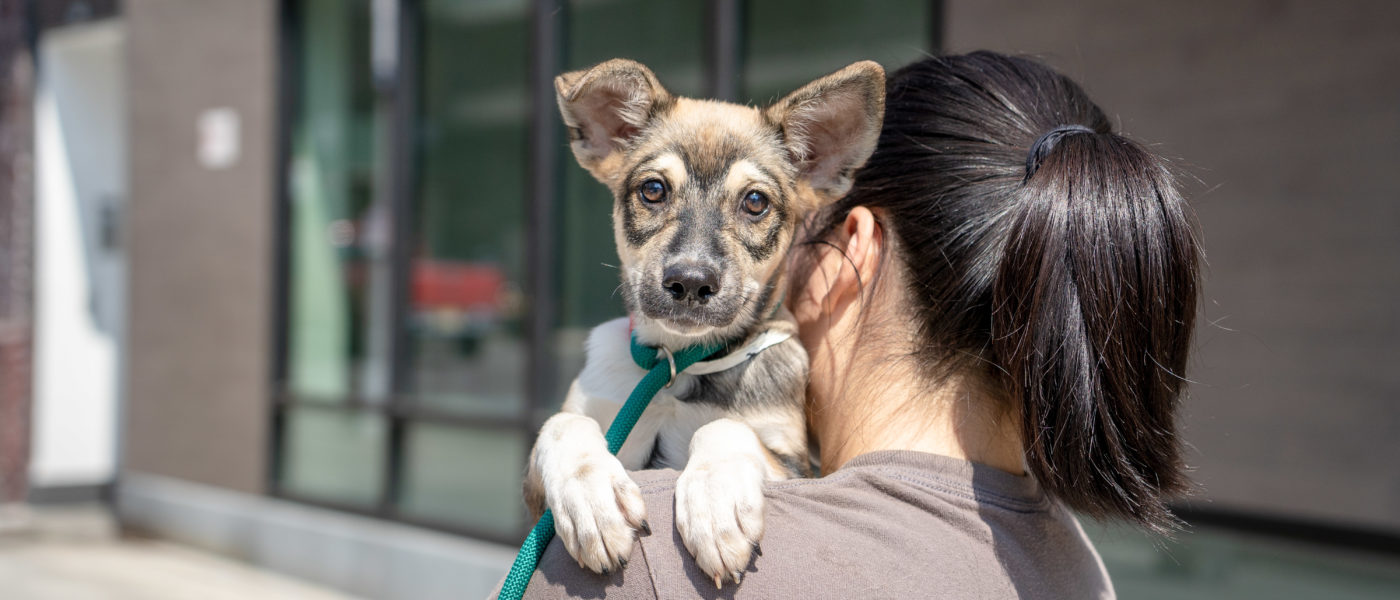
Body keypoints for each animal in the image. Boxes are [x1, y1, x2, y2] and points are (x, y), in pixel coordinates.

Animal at [520, 59, 879, 584]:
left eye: (755, 202)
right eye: (653, 190)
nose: (690, 282)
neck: (674, 369)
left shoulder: (800, 468)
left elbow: (724, 428)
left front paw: (715, 504)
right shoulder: (539, 502)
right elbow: (562, 423)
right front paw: (592, 497)